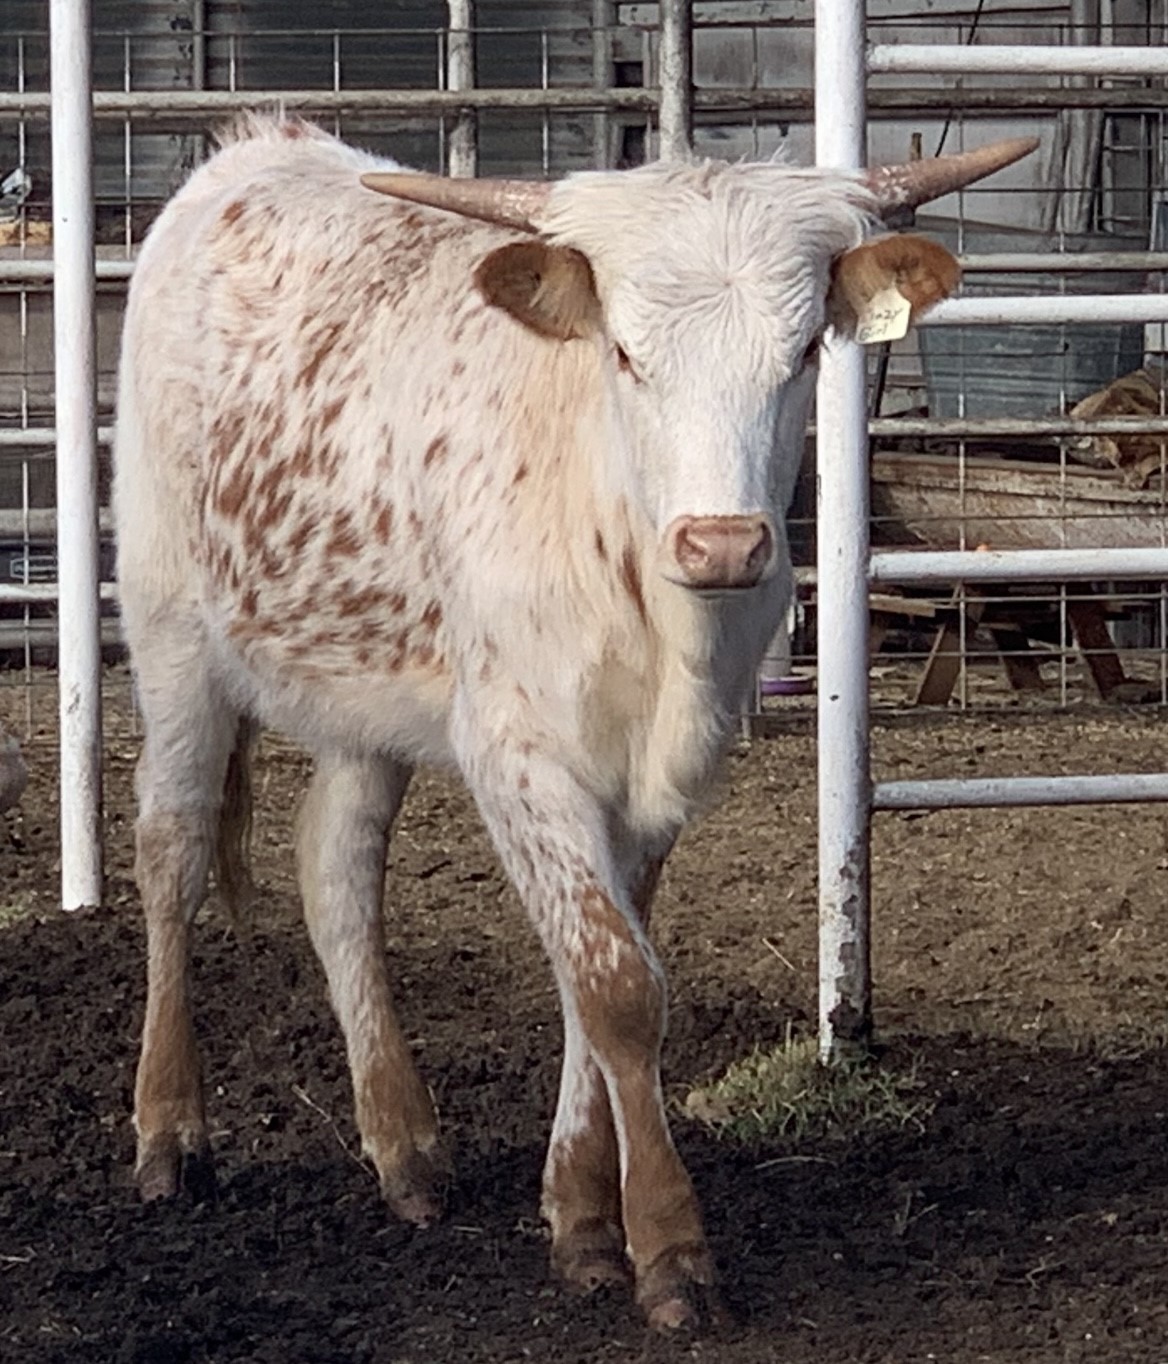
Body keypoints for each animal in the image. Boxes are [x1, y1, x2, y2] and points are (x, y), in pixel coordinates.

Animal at [113, 115, 1034, 1329]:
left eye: (799, 355)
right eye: (627, 355)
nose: (723, 543)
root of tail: (257, 148)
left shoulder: (653, 781)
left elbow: (588, 978)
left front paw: (583, 1215)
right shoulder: (521, 756)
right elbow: (615, 984)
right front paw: (670, 1248)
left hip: (362, 686)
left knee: (336, 868)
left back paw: (403, 1144)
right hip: (172, 634)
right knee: (170, 851)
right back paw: (170, 1131)